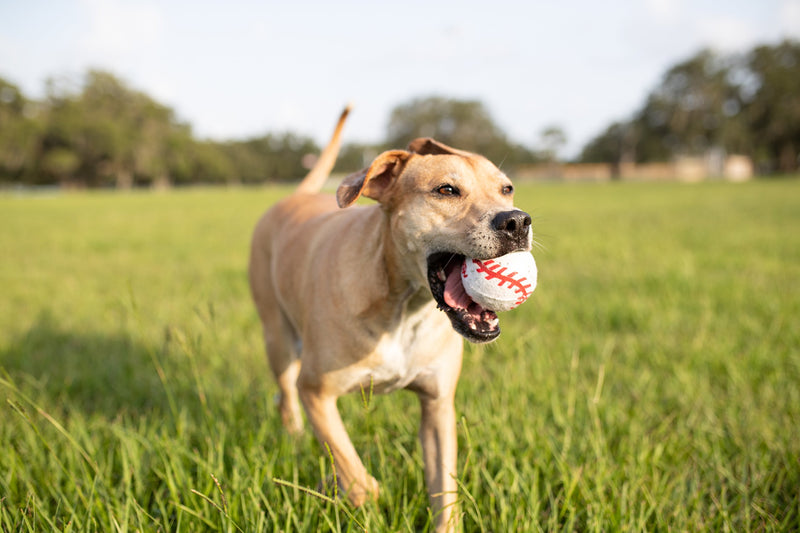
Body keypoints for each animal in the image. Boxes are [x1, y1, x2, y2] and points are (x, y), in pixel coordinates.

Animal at [247, 106, 536, 528]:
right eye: (446, 190)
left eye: (507, 189)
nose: (516, 221)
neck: (403, 309)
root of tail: (297, 196)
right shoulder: (316, 391)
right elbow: (355, 473)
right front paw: (358, 494)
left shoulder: (437, 407)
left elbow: (444, 491)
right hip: (278, 342)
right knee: (285, 397)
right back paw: (296, 438)